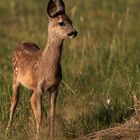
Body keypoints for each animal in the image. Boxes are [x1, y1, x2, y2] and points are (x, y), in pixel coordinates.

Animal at [5, 0, 77, 139]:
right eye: (61, 23)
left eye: (71, 20)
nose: (74, 32)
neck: (48, 70)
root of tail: (20, 44)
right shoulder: (39, 87)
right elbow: (40, 115)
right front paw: (39, 136)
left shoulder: (54, 87)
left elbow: (52, 114)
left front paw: (51, 136)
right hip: (15, 76)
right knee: (14, 102)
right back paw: (7, 132)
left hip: (31, 87)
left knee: (30, 100)